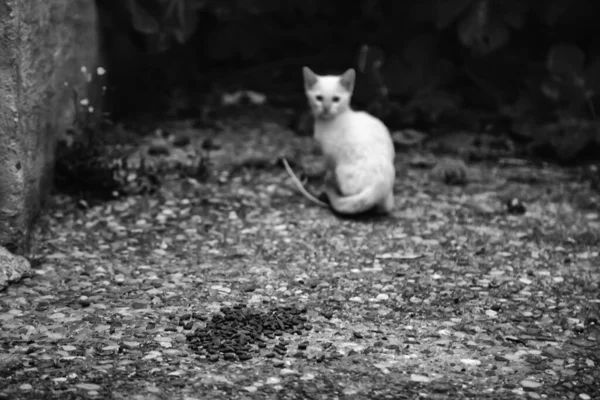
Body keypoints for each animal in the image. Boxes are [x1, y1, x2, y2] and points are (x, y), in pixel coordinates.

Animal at [302, 66, 396, 216]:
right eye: (319, 98)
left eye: (336, 99)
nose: (326, 108)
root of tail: (380, 185)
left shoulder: (330, 155)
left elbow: (329, 169)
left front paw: (326, 180)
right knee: (385, 207)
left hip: (342, 169)